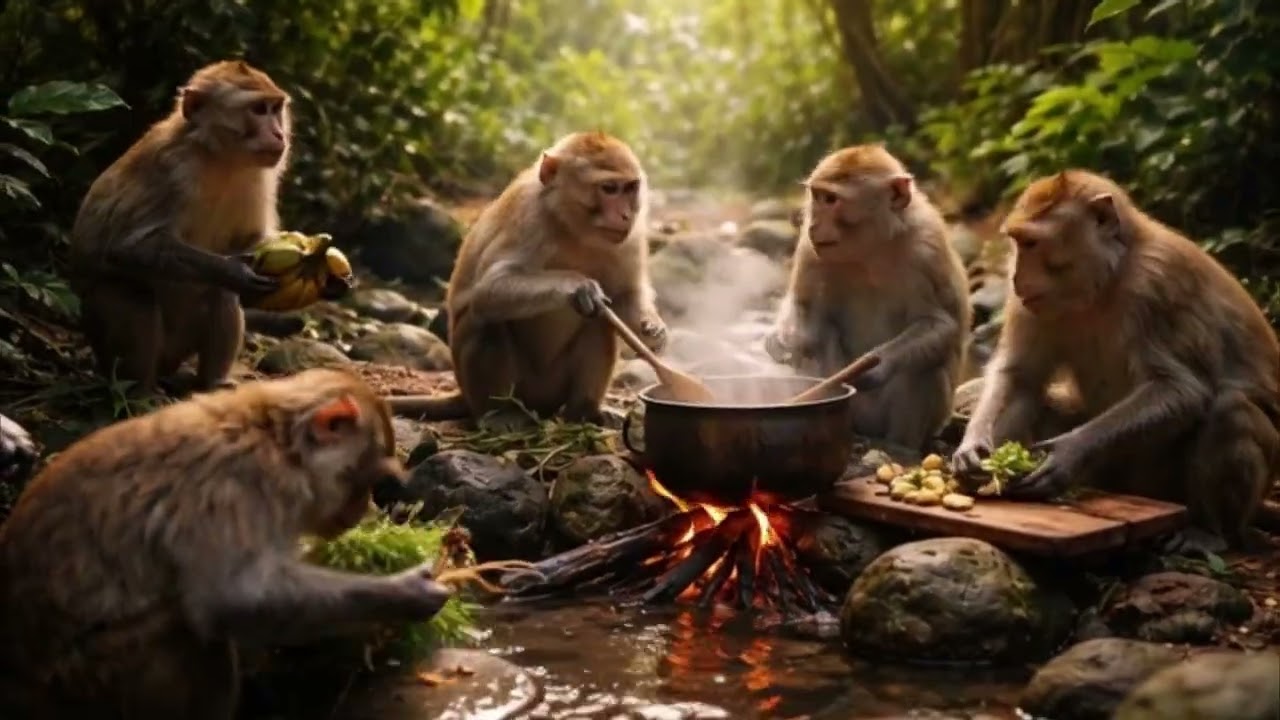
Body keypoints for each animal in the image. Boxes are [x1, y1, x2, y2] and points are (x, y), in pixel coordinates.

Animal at [0, 368, 452, 719]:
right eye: (364, 480)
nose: (361, 511)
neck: (276, 441)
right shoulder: (236, 489)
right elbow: (232, 600)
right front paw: (404, 591)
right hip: (88, 680)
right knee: (189, 635)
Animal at [68, 59, 292, 399]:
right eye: (258, 109)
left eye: (275, 109)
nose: (279, 134)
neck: (218, 157)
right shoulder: (169, 170)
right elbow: (126, 247)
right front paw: (233, 270)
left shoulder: (263, 177)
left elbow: (251, 239)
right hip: (103, 339)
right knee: (131, 296)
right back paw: (141, 392)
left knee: (220, 295)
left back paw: (213, 382)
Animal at [385, 132, 668, 428]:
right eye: (610, 188)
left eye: (630, 188)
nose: (626, 215)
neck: (573, 227)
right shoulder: (528, 216)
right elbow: (488, 290)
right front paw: (578, 285)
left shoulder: (632, 236)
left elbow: (626, 292)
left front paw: (651, 331)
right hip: (507, 387)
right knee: (485, 319)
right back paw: (499, 414)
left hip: (552, 388)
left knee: (598, 322)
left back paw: (582, 413)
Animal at [764, 144, 971, 450]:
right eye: (817, 197)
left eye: (831, 199)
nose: (813, 224)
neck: (871, 248)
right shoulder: (810, 250)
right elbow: (804, 307)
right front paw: (781, 339)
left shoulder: (928, 247)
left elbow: (941, 323)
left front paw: (877, 364)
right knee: (817, 338)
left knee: (924, 364)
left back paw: (900, 446)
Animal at [952, 169, 1280, 550]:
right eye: (1018, 242)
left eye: (1031, 243)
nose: (1016, 276)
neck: (1107, 280)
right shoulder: (1029, 304)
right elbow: (1020, 375)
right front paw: (975, 449)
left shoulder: (1158, 283)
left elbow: (1182, 389)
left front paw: (1069, 452)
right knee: (1029, 397)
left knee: (1231, 409)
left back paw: (1210, 531)